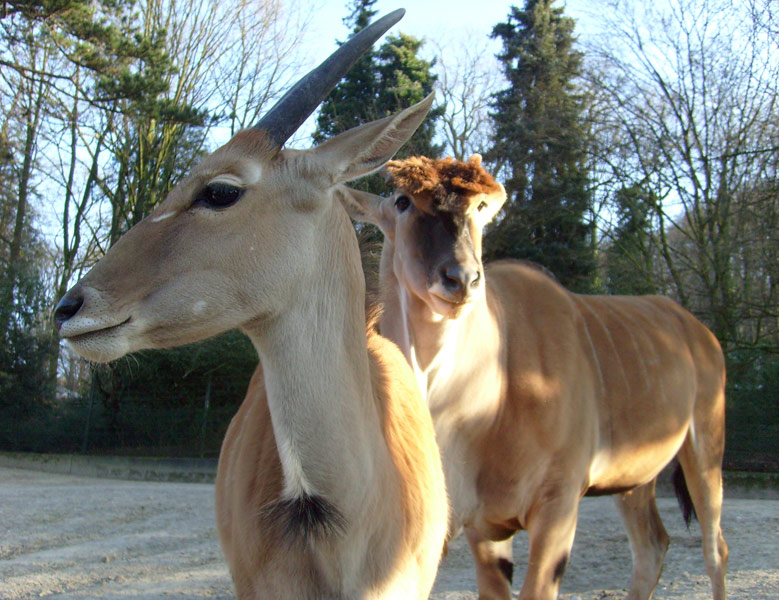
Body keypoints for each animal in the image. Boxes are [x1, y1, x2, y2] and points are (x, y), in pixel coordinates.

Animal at [344, 155, 728, 600]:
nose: (461, 278)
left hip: (705, 449)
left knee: (714, 547)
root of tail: (698, 331)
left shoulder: (558, 505)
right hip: (635, 478)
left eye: (480, 207)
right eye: (403, 202)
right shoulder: (484, 529)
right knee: (652, 546)